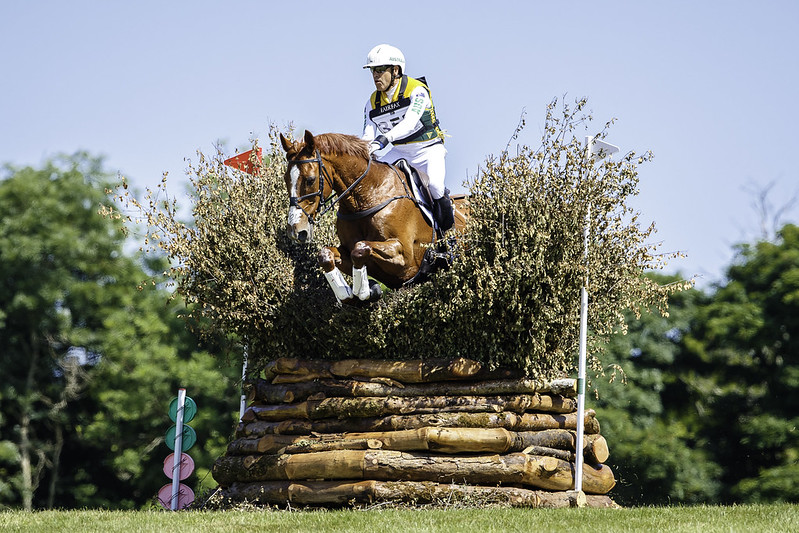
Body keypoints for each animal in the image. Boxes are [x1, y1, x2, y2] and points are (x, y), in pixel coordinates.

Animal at [282, 130, 468, 304]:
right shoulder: (349, 253)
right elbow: (326, 254)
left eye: (310, 180)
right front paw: (348, 294)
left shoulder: (405, 257)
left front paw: (364, 291)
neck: (366, 198)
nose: (295, 231)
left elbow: (360, 248)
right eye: (285, 179)